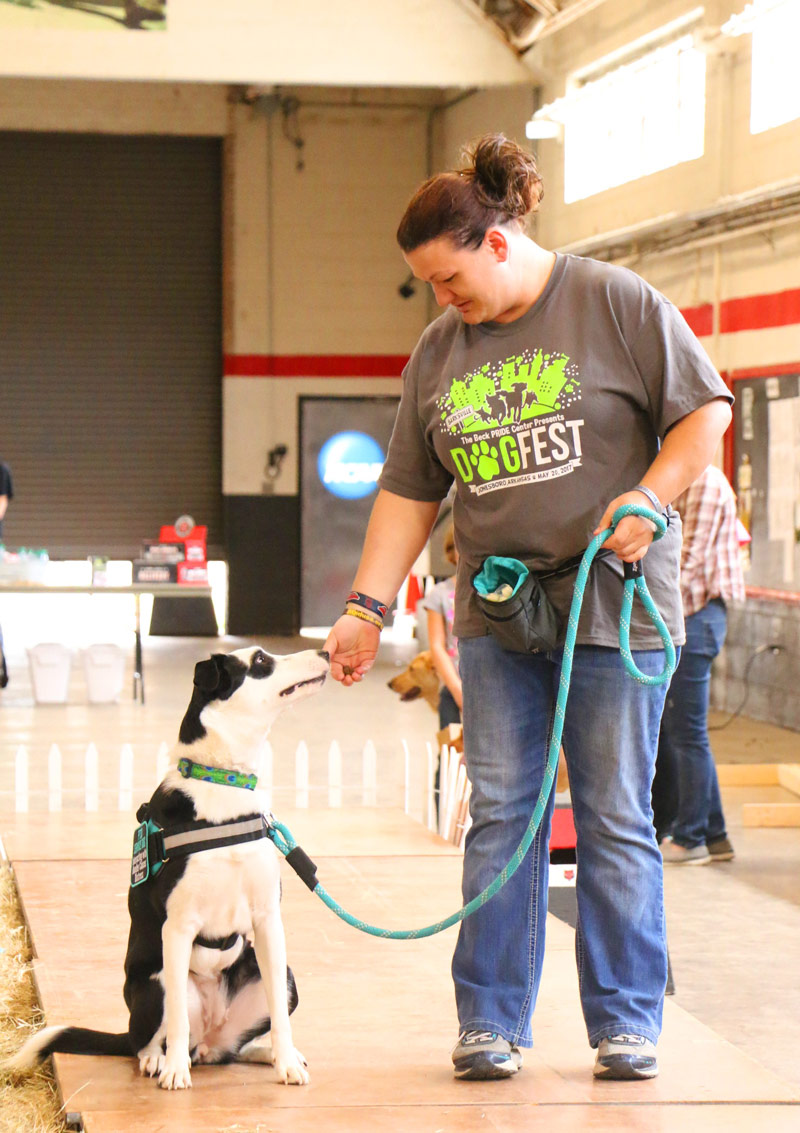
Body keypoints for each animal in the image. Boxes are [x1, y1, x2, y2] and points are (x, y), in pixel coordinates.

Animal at [6, 648, 326, 1087]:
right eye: (261, 660)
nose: (325, 651)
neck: (221, 783)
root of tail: (209, 1042)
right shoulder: (177, 928)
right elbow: (175, 1017)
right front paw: (174, 1071)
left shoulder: (267, 923)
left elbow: (279, 1011)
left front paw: (287, 1061)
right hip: (154, 986)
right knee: (151, 1038)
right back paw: (159, 1060)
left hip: (279, 980)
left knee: (236, 1046)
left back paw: (267, 1053)